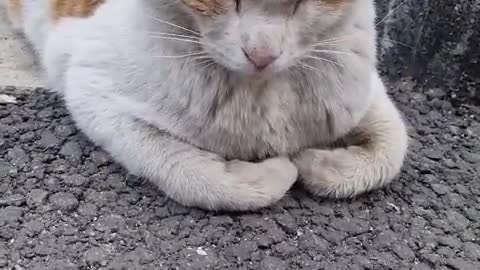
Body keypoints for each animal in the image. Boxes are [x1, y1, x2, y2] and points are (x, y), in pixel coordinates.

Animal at [4, 0, 408, 211]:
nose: (261, 54)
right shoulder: (90, 83)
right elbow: (181, 167)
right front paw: (272, 172)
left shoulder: (356, 85)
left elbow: (394, 146)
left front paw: (323, 165)